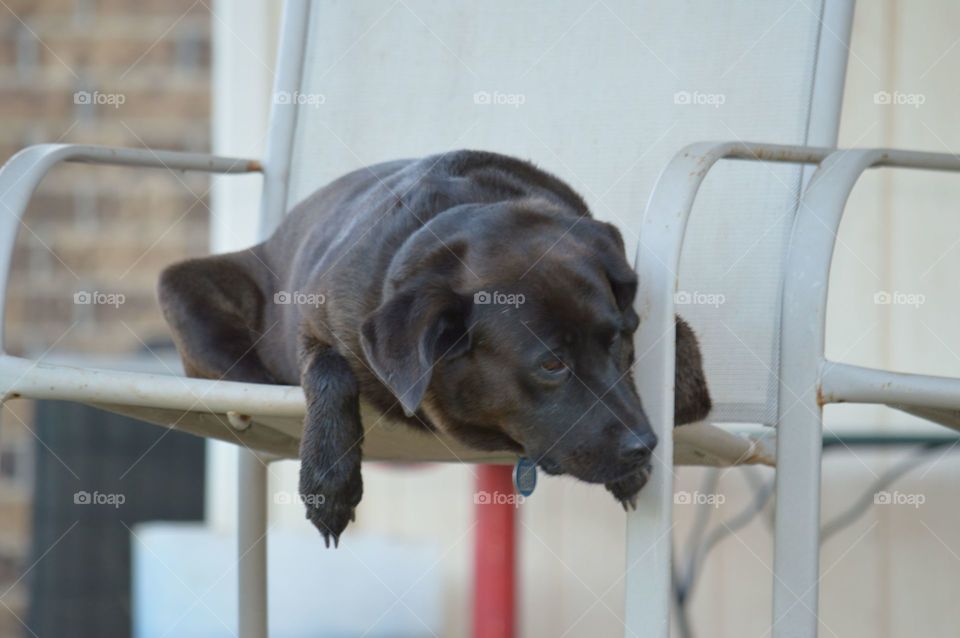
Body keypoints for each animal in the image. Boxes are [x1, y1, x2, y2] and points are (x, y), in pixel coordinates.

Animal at [159, 150, 712, 544]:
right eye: (552, 363)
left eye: (618, 340)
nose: (645, 446)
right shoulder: (316, 327)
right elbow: (329, 372)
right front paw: (328, 482)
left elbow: (676, 339)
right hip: (178, 284)